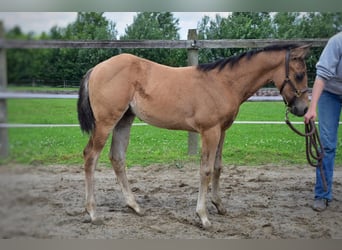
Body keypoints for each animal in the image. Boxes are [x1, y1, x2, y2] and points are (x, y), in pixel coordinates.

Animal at [77, 43, 310, 229]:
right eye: (299, 74)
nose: (304, 108)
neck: (224, 83)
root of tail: (96, 68)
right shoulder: (210, 131)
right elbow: (205, 170)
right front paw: (203, 216)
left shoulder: (222, 130)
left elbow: (218, 167)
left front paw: (219, 205)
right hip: (106, 123)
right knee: (90, 157)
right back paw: (93, 212)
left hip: (124, 120)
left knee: (117, 158)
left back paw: (134, 206)